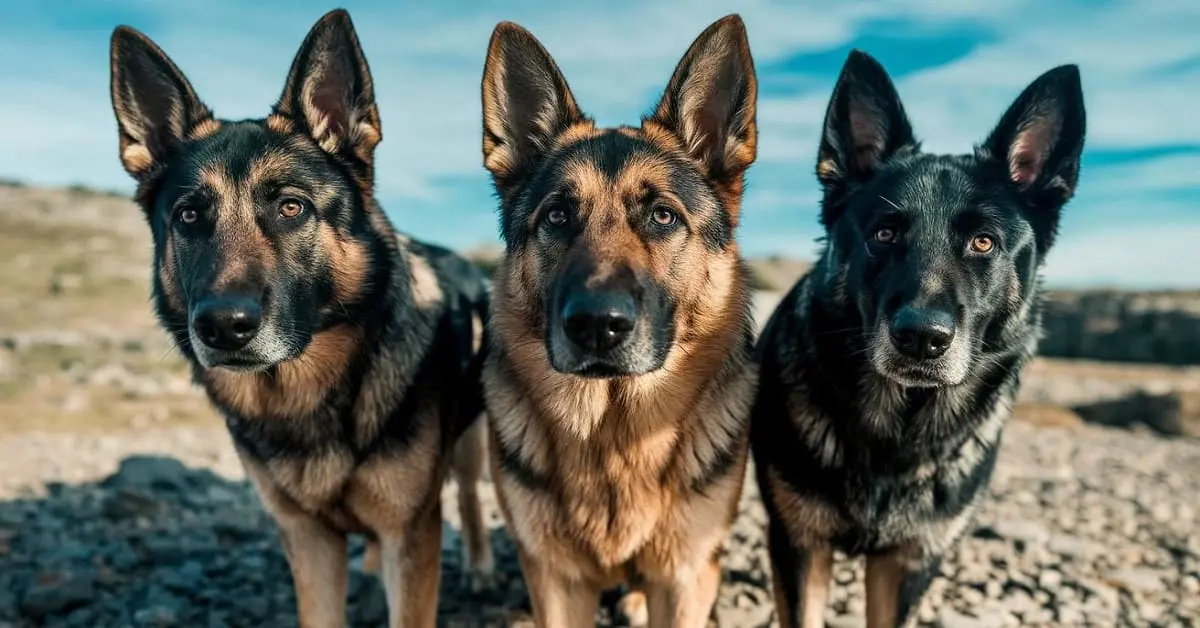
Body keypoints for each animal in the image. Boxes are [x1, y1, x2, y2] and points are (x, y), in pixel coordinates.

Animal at [106, 9, 492, 628]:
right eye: (189, 215)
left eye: (292, 207)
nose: (223, 326)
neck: (308, 394)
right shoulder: (309, 542)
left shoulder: (411, 534)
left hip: (471, 443)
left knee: (472, 495)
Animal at [477, 14, 758, 628]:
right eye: (558, 215)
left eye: (662, 216)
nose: (596, 325)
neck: (613, 436)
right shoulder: (557, 583)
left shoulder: (684, 579)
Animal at [753, 50, 1084, 628]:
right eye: (884, 234)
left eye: (983, 242)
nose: (922, 339)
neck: (896, 436)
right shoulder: (799, 547)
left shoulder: (907, 565)